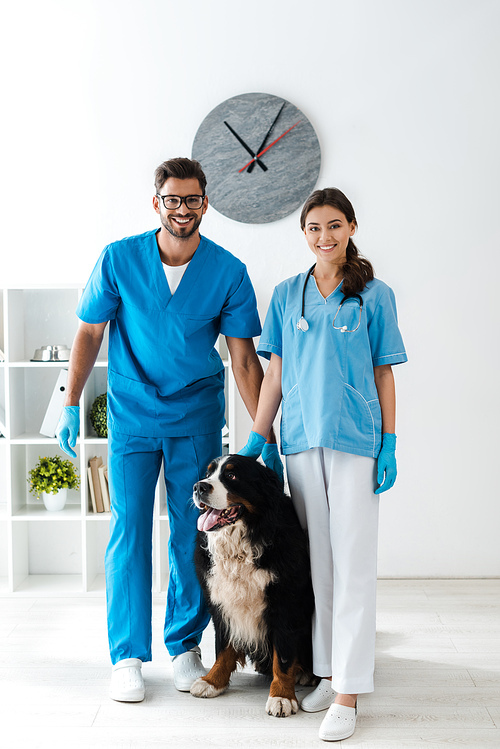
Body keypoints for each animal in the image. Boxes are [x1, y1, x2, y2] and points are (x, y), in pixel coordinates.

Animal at [189, 452, 314, 716]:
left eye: (231, 475)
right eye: (208, 473)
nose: (198, 487)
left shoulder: (285, 604)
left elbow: (283, 656)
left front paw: (281, 696)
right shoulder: (221, 603)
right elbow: (223, 646)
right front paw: (212, 681)